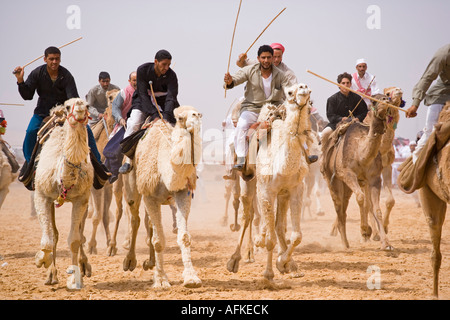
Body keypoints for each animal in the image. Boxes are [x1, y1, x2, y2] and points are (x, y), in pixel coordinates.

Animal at [33, 98, 93, 290]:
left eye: (87, 105)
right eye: (68, 106)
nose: (80, 107)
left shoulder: (81, 199)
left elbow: (74, 240)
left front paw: (74, 279)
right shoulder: (41, 195)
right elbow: (49, 238)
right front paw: (41, 260)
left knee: (80, 233)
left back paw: (84, 266)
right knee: (55, 233)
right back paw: (51, 275)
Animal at [121, 105, 202, 288]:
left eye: (198, 113)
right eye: (179, 117)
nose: (196, 116)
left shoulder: (182, 193)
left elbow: (184, 237)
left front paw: (191, 278)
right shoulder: (149, 195)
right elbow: (158, 241)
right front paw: (161, 280)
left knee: (148, 223)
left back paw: (150, 262)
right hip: (131, 187)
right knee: (135, 219)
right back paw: (130, 261)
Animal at [250, 83, 312, 280]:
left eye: (309, 89)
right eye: (290, 92)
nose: (303, 88)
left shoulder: (296, 189)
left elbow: (296, 235)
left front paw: (283, 263)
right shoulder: (266, 191)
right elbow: (270, 239)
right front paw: (268, 274)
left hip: (282, 195)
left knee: (279, 226)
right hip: (253, 186)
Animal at [320, 94, 394, 251]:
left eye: (386, 97)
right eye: (374, 100)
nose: (386, 100)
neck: (361, 154)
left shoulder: (374, 178)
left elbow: (376, 209)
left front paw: (387, 244)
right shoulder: (348, 174)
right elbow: (361, 199)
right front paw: (365, 231)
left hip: (346, 186)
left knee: (344, 206)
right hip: (332, 179)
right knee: (338, 205)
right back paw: (344, 243)